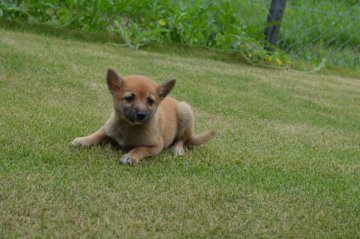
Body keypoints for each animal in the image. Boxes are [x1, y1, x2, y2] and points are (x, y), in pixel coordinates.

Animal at [71, 68, 215, 164]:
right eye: (129, 98)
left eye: (150, 101)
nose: (141, 115)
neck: (128, 127)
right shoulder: (107, 128)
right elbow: (96, 134)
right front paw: (83, 140)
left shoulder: (156, 146)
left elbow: (140, 148)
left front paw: (131, 156)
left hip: (185, 111)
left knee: (183, 139)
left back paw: (178, 149)